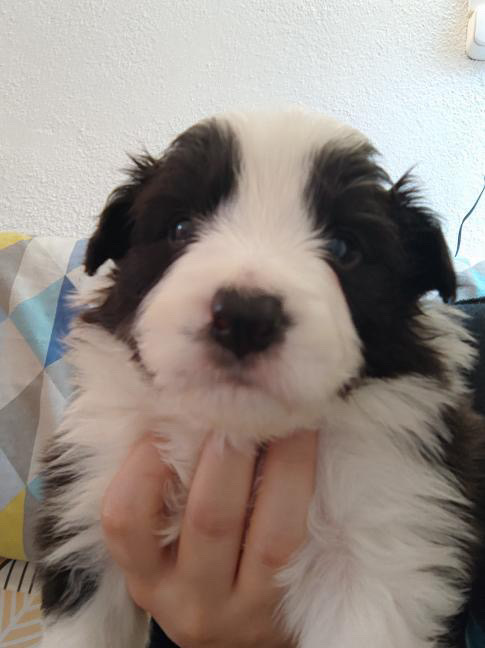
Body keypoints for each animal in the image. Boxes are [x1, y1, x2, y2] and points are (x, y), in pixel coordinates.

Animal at [36, 109, 485, 647]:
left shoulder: (382, 543)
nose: (244, 318)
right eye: (181, 226)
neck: (239, 433)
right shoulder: (87, 505)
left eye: (344, 248)